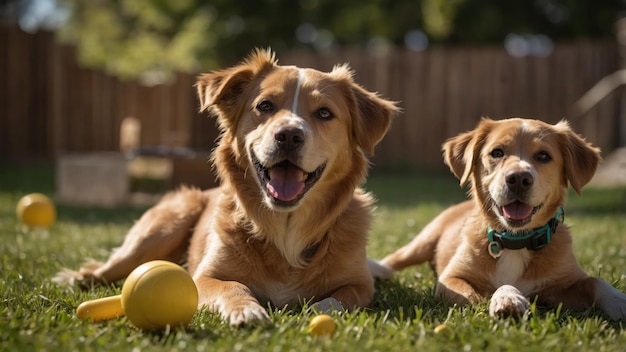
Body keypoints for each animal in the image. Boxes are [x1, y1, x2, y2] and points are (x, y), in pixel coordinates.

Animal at [59, 48, 400, 324]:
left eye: (325, 113)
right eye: (265, 106)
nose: (289, 135)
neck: (286, 229)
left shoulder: (361, 285)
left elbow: (341, 298)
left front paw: (315, 310)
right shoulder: (204, 278)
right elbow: (233, 285)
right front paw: (246, 310)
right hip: (162, 227)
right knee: (106, 269)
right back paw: (74, 278)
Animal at [368, 117, 624, 320]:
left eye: (543, 156)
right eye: (497, 152)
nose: (518, 178)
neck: (515, 241)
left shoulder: (565, 284)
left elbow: (594, 281)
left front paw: (618, 302)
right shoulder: (451, 279)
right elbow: (489, 290)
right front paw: (508, 298)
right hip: (425, 238)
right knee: (396, 259)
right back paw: (376, 268)